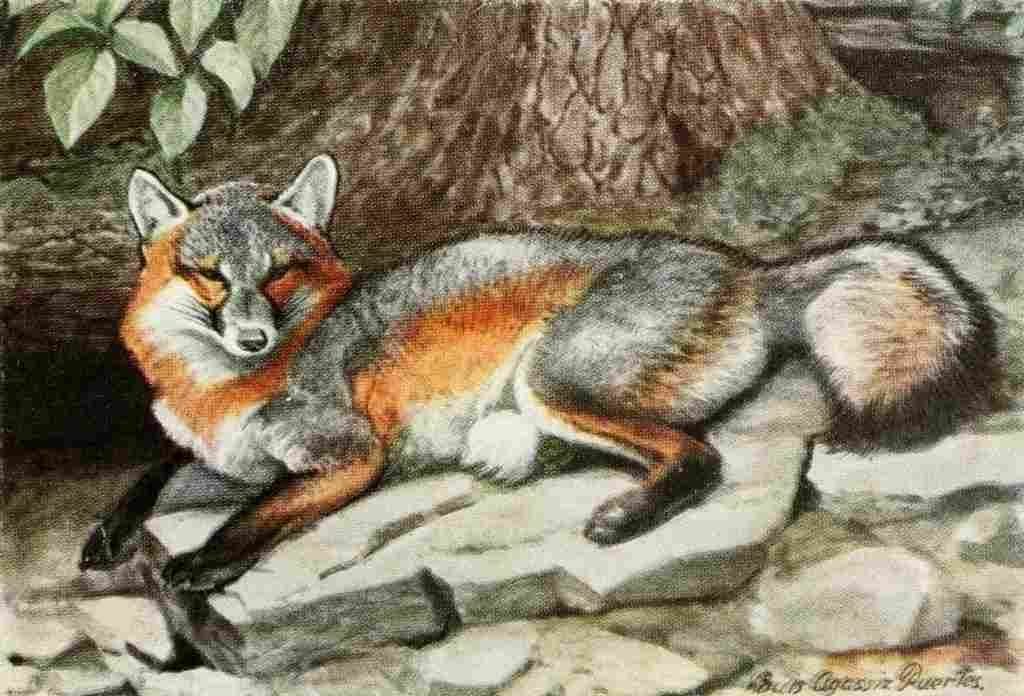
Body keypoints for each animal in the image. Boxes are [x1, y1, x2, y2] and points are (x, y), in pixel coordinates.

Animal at [80, 153, 1003, 595]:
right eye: (209, 276)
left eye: (276, 276)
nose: (249, 337)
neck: (220, 393)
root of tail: (746, 269)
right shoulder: (219, 454)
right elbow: (152, 472)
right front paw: (110, 534)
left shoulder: (348, 454)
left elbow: (259, 513)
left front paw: (206, 561)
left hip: (554, 380)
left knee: (699, 456)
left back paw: (624, 514)